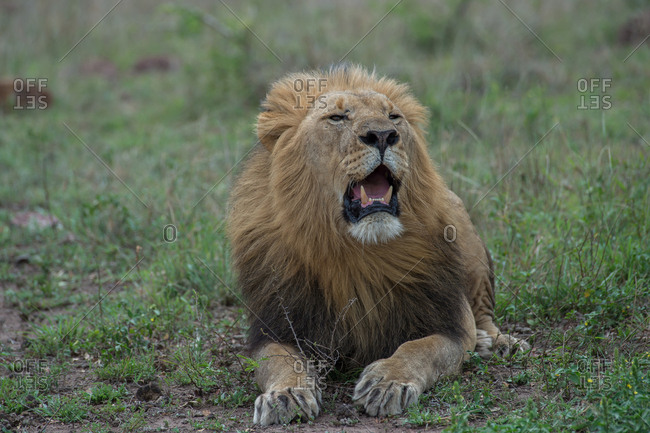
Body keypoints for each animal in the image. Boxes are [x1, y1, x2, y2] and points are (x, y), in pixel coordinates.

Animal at [227, 65, 529, 426]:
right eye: (337, 117)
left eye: (393, 117)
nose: (383, 135)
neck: (358, 250)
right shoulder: (275, 327)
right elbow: (280, 361)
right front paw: (285, 394)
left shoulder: (451, 325)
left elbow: (419, 348)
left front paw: (387, 383)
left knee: (484, 315)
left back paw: (496, 343)